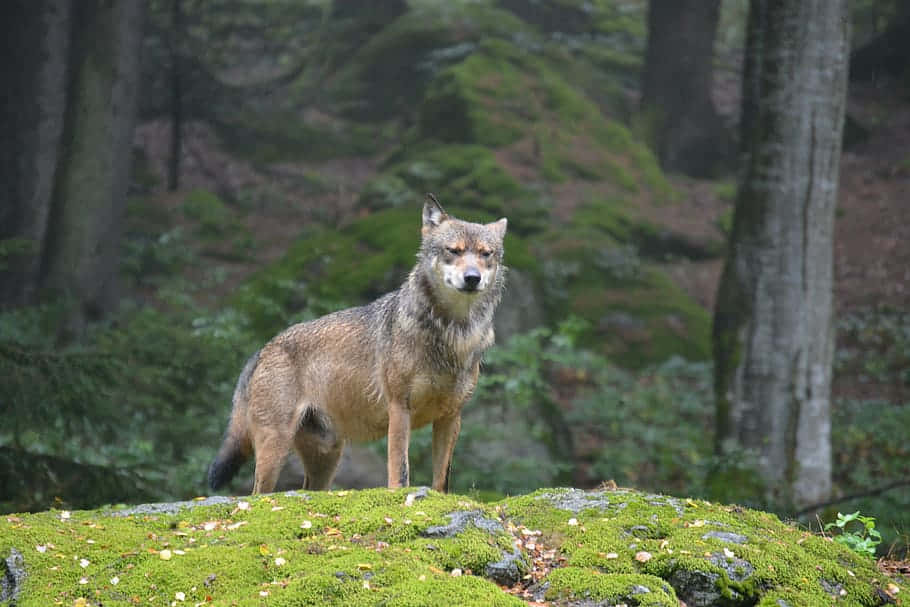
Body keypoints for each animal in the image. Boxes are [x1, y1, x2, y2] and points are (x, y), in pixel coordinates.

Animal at [208, 195, 510, 494]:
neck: (451, 332)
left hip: (326, 458)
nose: (472, 278)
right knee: (258, 494)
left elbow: (441, 480)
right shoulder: (399, 408)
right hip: (275, 449)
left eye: (485, 254)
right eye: (453, 251)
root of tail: (263, 350)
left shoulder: (451, 416)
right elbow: (400, 469)